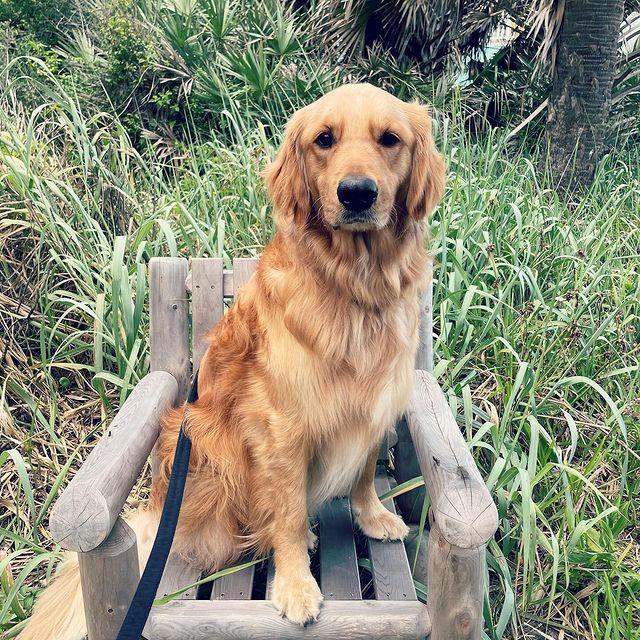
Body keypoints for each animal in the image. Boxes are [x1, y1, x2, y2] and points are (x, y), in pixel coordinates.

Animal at [18, 82, 440, 636]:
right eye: (324, 139)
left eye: (390, 139)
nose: (357, 193)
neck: (351, 286)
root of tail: (159, 504)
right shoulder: (282, 425)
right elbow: (286, 512)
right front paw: (295, 583)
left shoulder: (374, 404)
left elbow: (366, 470)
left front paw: (371, 516)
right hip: (211, 447)